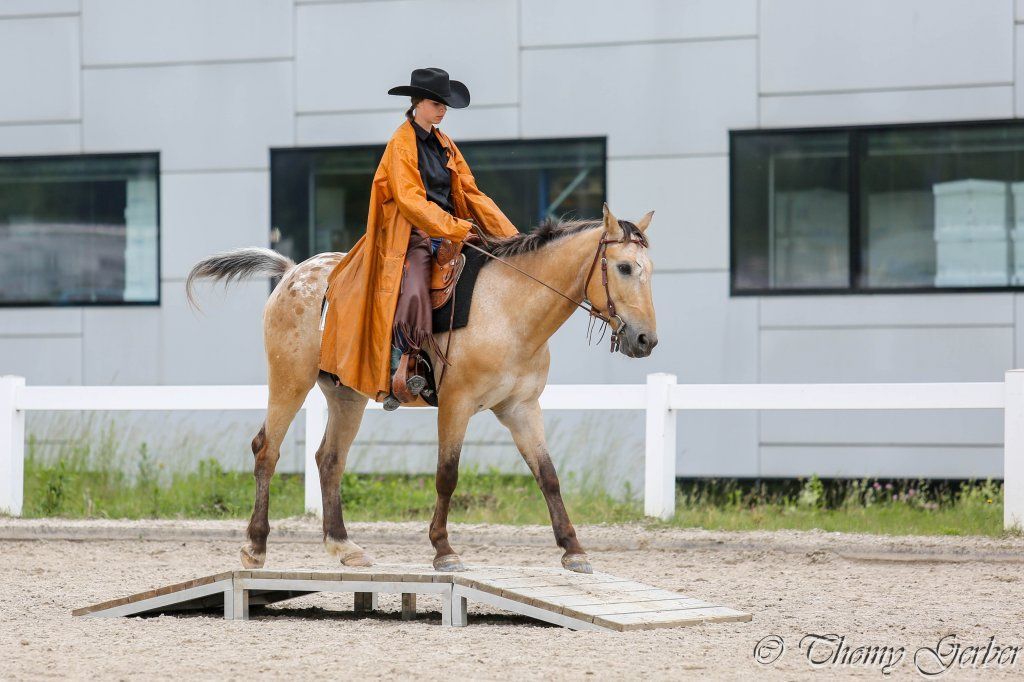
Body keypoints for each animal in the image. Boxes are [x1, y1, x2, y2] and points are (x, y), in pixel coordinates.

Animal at [185, 203, 657, 574]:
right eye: (623, 267)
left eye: (648, 271)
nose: (645, 340)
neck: (508, 309)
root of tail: (292, 273)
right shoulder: (455, 404)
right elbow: (447, 475)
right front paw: (444, 550)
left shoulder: (521, 408)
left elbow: (548, 475)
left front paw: (573, 550)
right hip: (289, 380)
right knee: (267, 450)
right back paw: (255, 546)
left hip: (345, 395)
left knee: (329, 460)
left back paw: (343, 547)